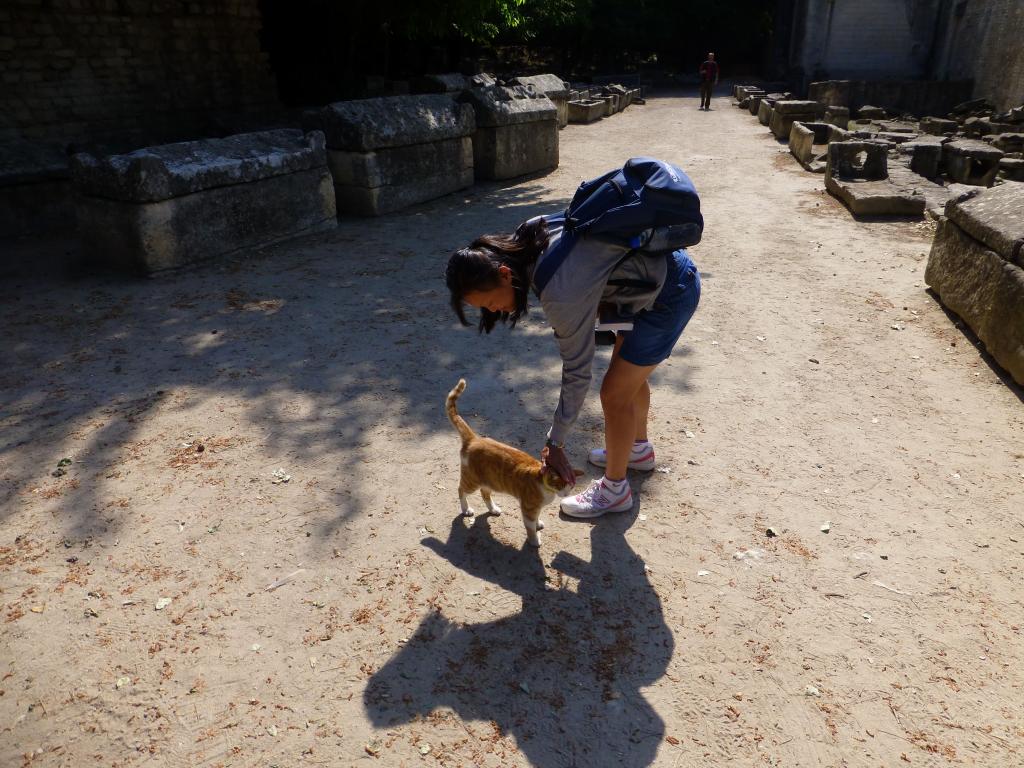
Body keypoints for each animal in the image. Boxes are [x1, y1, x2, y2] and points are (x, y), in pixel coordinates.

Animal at [444, 378, 581, 548]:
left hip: (489, 480)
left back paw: (493, 509)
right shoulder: (528, 509)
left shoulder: (535, 508)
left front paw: (538, 524)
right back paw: (466, 509)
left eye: (571, 486)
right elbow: (530, 528)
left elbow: (536, 519)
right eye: (561, 485)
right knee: (461, 490)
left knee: (484, 493)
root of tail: (475, 438)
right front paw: (534, 540)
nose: (566, 494)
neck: (545, 485)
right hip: (472, 481)